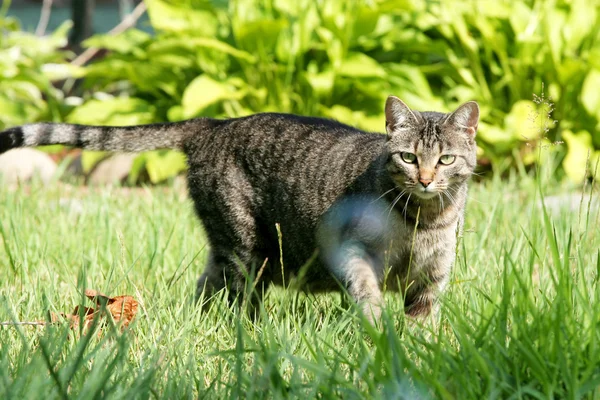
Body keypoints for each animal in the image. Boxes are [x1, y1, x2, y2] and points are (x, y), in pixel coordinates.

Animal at [0, 97, 478, 322]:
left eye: (445, 160)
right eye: (409, 158)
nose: (425, 180)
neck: (424, 221)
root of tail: (213, 124)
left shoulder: (432, 278)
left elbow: (423, 322)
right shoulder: (353, 255)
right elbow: (370, 300)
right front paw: (381, 336)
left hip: (233, 251)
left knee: (204, 288)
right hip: (247, 250)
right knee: (238, 299)